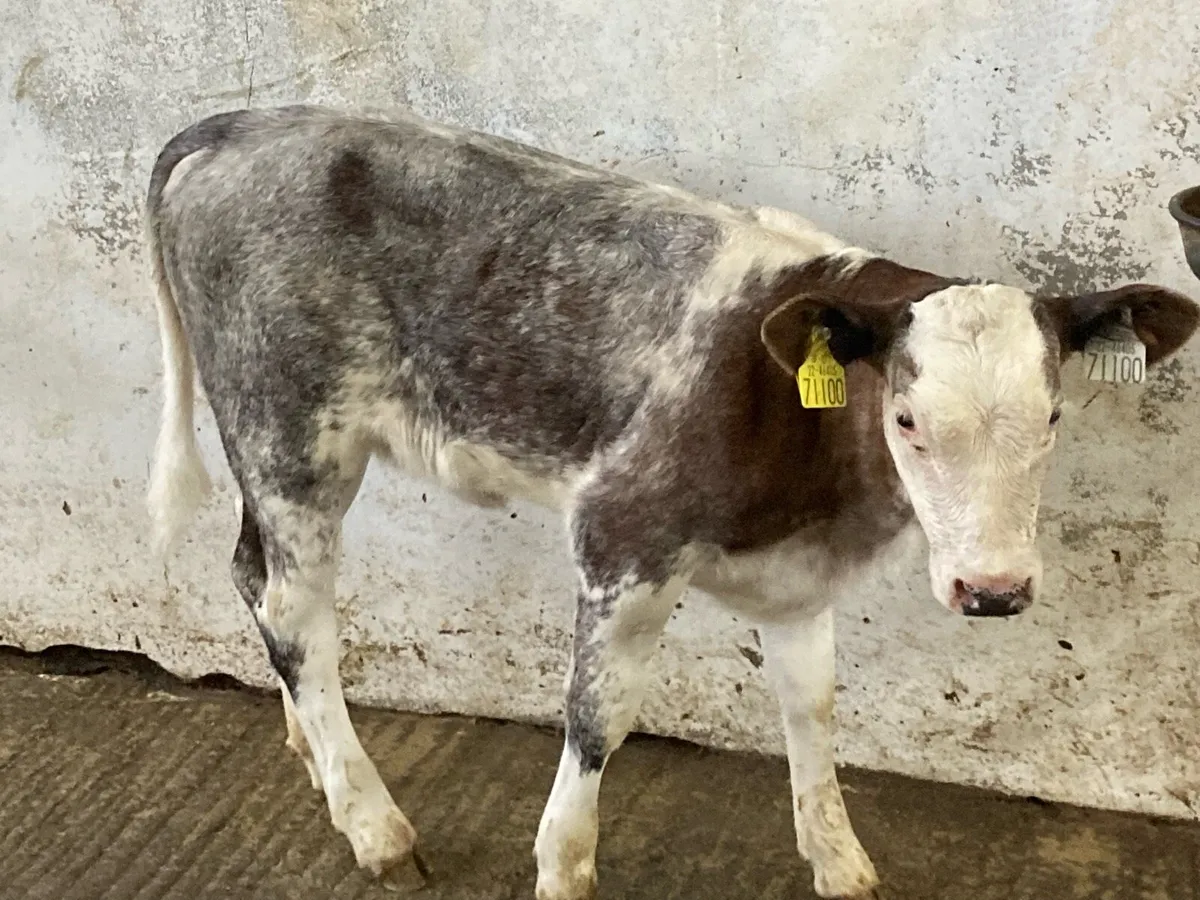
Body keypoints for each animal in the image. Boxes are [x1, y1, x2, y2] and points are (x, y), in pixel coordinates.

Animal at [144, 105, 1199, 900]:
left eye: (1054, 414)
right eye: (905, 418)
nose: (994, 590)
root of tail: (246, 125)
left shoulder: (799, 573)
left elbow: (813, 707)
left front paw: (841, 864)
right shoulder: (623, 534)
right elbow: (597, 717)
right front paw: (563, 868)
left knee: (252, 578)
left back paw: (310, 751)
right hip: (291, 433)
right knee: (294, 609)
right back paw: (375, 825)